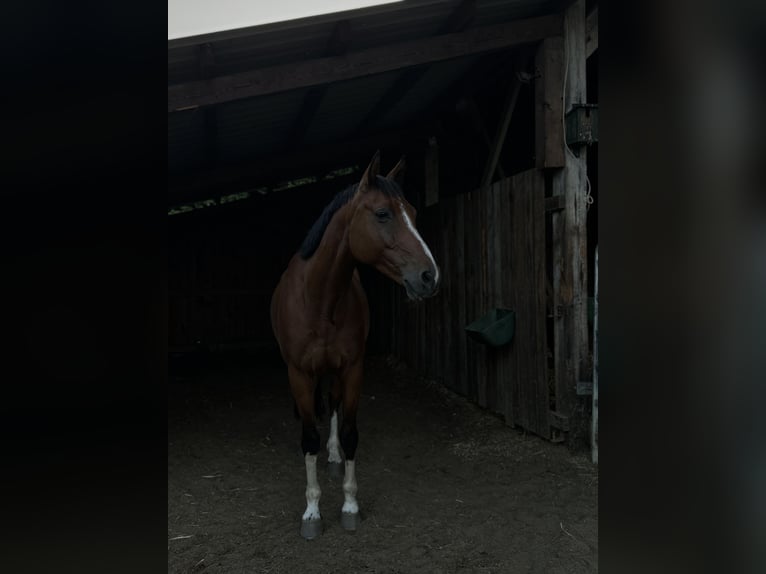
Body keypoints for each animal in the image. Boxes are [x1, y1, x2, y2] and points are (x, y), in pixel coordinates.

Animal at [272, 152, 440, 540]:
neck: (320, 301)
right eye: (382, 213)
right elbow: (308, 439)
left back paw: (333, 457)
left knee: (332, 406)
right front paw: (312, 512)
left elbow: (349, 433)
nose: (430, 276)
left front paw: (349, 504)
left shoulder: (352, 369)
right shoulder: (299, 374)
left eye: (413, 211)